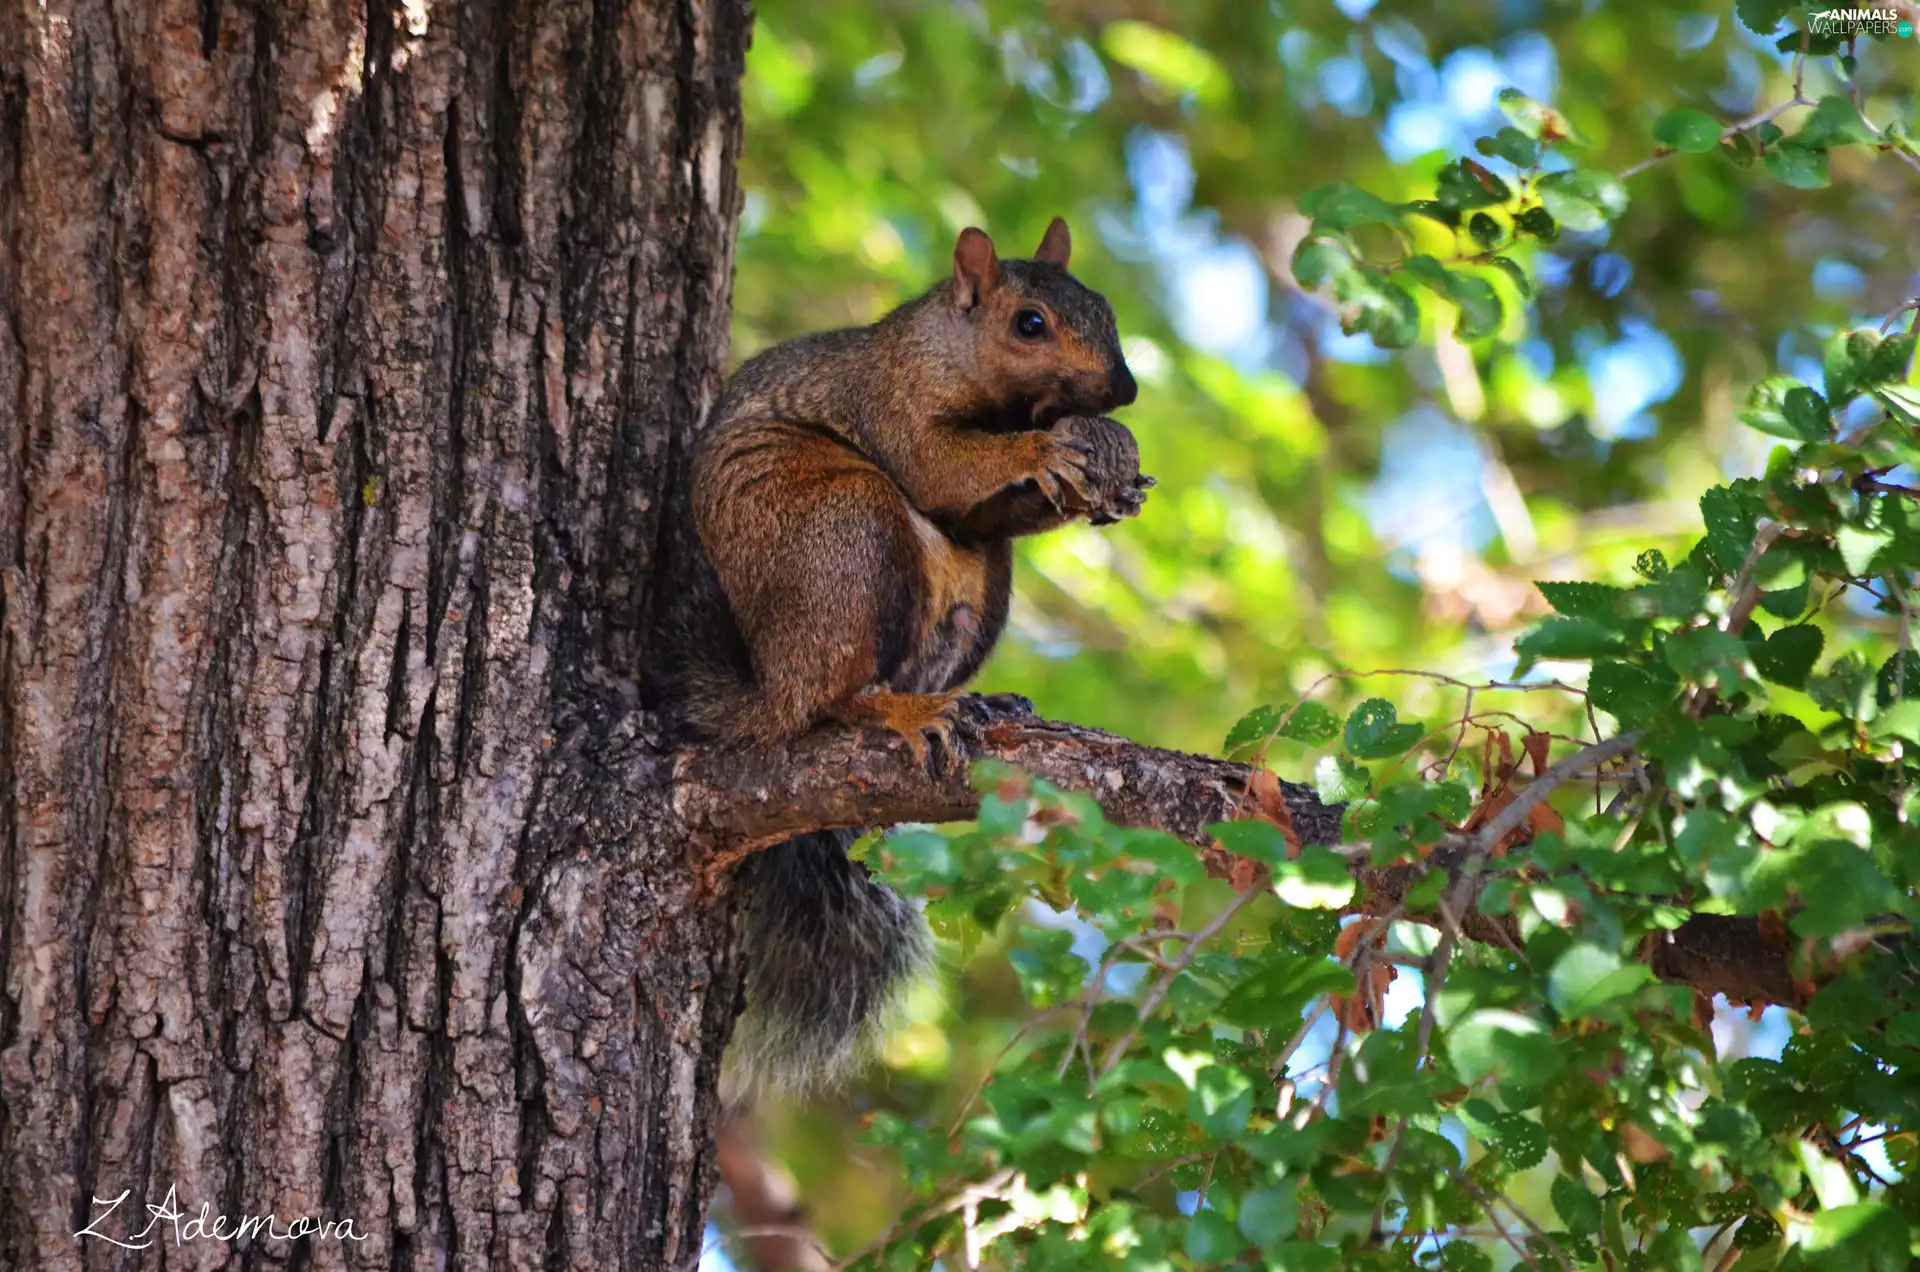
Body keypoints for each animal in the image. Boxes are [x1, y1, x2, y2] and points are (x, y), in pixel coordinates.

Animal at [650, 218, 1151, 1101]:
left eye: (1102, 303)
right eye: (1029, 323)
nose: (1122, 391)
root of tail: (772, 687)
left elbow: (983, 512)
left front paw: (1111, 482)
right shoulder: (889, 402)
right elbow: (937, 466)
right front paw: (1043, 451)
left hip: (978, 598)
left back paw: (983, 703)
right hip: (849, 535)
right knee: (836, 697)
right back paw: (895, 707)